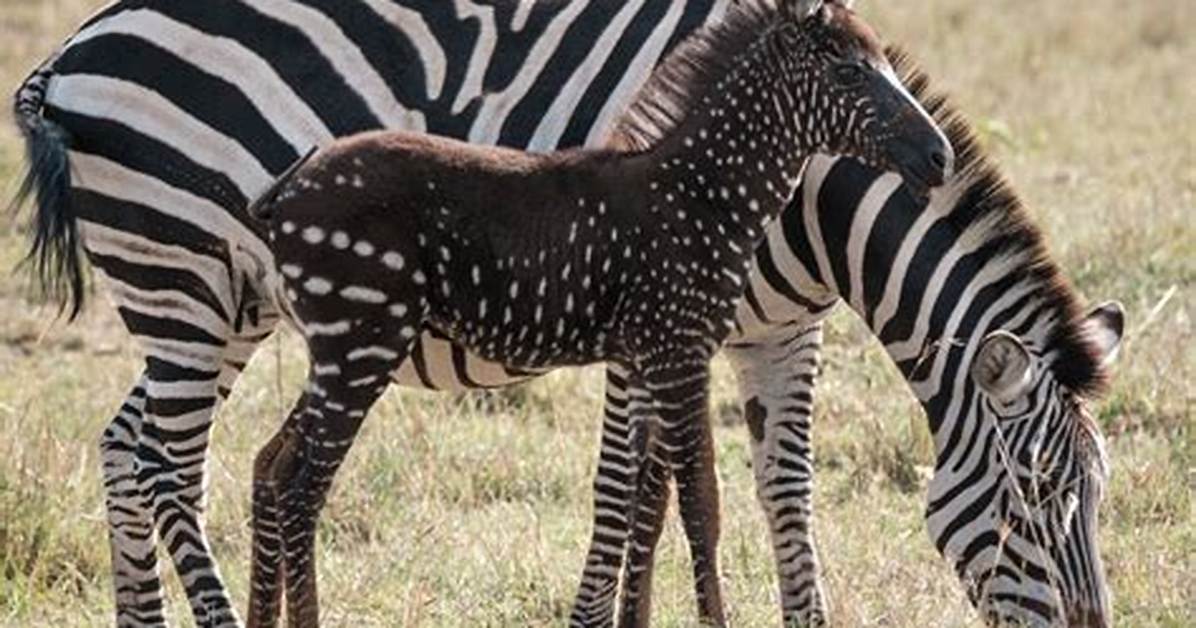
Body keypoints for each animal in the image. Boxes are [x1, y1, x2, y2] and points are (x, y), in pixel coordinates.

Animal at [8, 0, 1113, 626]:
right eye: (1036, 494)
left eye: (1093, 495)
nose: (932, 157)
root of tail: (65, 56)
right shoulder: (660, 340)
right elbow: (644, 494)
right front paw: (614, 618)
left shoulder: (766, 331)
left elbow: (767, 490)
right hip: (190, 281)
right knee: (177, 463)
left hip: (218, 306)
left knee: (138, 449)